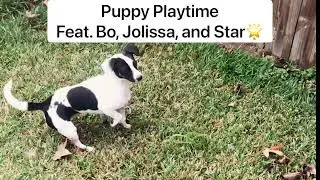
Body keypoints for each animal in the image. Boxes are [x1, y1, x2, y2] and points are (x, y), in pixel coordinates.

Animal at [2, 43, 142, 152]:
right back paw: (88, 148)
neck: (117, 83)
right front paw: (113, 124)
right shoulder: (106, 108)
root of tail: (46, 103)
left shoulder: (121, 107)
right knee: (76, 143)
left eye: (135, 64)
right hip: (70, 129)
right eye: (125, 70)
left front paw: (125, 125)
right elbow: (117, 117)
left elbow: (122, 117)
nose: (140, 77)